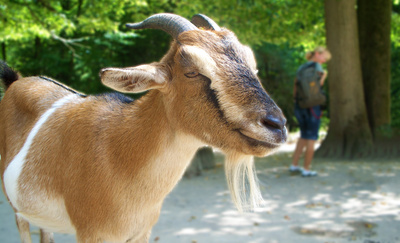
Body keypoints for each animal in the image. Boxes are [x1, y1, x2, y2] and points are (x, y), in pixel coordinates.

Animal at [0, 13, 288, 243]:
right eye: (191, 71)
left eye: (252, 65)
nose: (278, 125)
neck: (120, 154)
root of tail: (16, 80)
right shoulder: (92, 234)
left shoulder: (141, 232)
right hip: (16, 207)